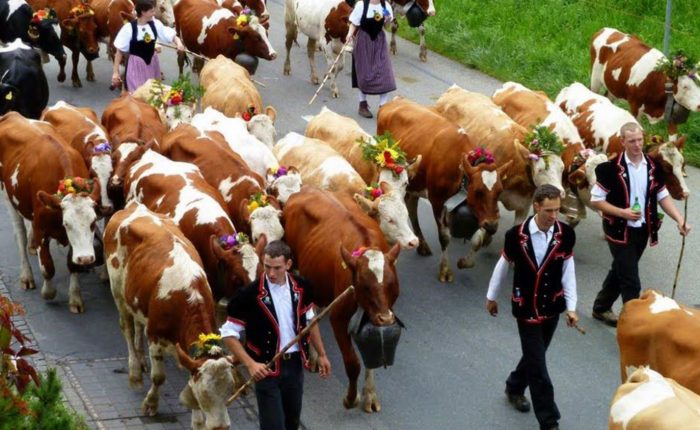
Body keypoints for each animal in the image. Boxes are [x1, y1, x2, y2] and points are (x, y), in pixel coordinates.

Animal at [0, 112, 100, 313]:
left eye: (93, 222)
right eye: (67, 223)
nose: (86, 258)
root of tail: (12, 114)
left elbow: (72, 265)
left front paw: (75, 298)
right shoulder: (41, 229)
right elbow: (47, 267)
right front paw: (48, 292)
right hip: (7, 197)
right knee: (20, 236)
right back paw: (26, 275)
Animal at [104, 203, 235, 428]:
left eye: (229, 390)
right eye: (205, 394)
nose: (221, 427)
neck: (188, 298)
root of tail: (134, 206)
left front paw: (197, 422)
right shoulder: (156, 337)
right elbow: (159, 377)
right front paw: (151, 404)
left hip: (137, 298)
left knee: (138, 325)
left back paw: (140, 358)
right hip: (118, 291)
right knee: (127, 328)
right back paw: (135, 372)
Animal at [283, 185, 402, 413]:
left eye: (392, 285)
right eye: (364, 286)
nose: (385, 318)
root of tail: (308, 188)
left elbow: (370, 358)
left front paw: (370, 395)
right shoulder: (338, 318)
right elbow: (353, 363)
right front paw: (350, 398)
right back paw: (314, 356)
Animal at [377, 96, 512, 281]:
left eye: (499, 192)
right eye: (478, 191)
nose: (492, 226)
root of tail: (395, 100)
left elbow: (477, 240)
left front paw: (465, 262)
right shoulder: (437, 201)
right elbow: (444, 237)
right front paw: (445, 270)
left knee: (411, 205)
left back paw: (422, 245)